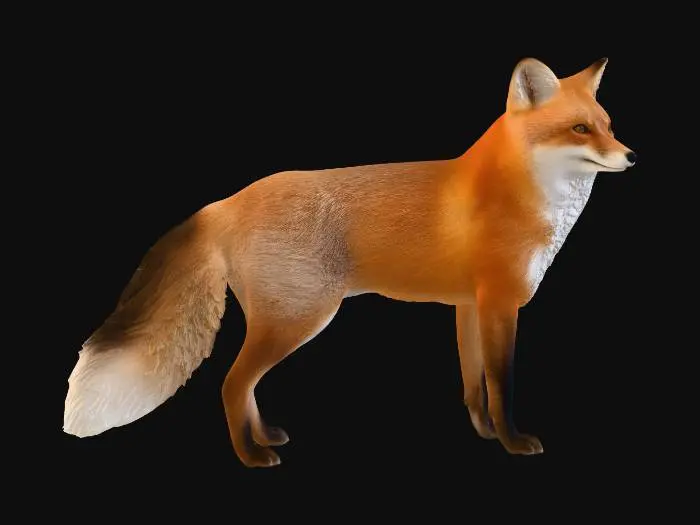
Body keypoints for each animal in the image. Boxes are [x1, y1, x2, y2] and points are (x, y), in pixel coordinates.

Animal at [63, 57, 636, 467]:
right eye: (580, 130)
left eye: (608, 125)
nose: (631, 156)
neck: (517, 193)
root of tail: (227, 202)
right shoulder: (500, 305)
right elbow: (502, 384)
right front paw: (513, 442)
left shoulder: (468, 306)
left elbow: (474, 384)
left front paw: (484, 433)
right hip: (300, 318)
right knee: (231, 384)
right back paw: (251, 455)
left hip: (281, 321)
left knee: (246, 385)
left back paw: (265, 435)